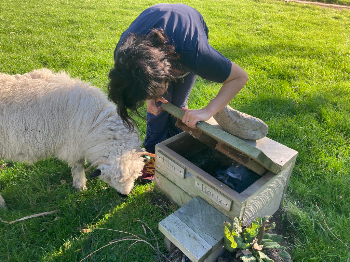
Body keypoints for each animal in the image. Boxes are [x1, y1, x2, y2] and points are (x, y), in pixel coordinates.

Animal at [0, 68, 147, 208]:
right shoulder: (74, 145)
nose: (124, 195)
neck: (94, 121)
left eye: (135, 175)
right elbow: (78, 166)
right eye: (111, 178)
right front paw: (80, 187)